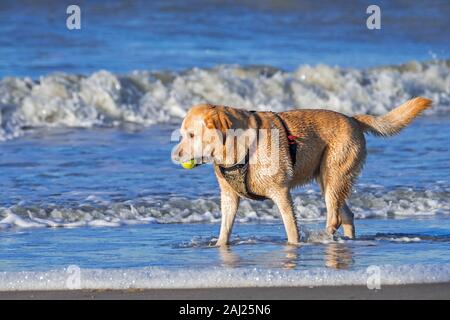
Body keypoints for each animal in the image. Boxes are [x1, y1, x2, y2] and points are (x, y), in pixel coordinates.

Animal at [172, 97, 432, 245]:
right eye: (182, 134)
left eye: (192, 135)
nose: (174, 155)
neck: (240, 147)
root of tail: (353, 119)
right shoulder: (229, 197)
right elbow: (224, 230)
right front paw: (219, 246)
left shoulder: (281, 192)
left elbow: (291, 228)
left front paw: (294, 247)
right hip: (330, 181)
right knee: (347, 214)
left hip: (333, 174)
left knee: (335, 216)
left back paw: (327, 236)